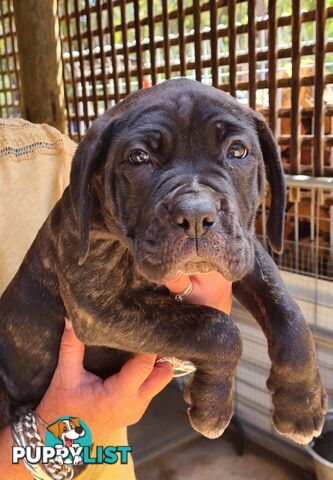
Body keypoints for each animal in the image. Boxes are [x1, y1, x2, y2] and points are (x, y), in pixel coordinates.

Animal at [0, 78, 326, 442]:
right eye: (139, 158)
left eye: (237, 150)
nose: (196, 215)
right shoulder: (98, 309)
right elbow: (217, 328)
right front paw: (212, 406)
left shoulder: (244, 248)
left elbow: (287, 310)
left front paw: (301, 402)